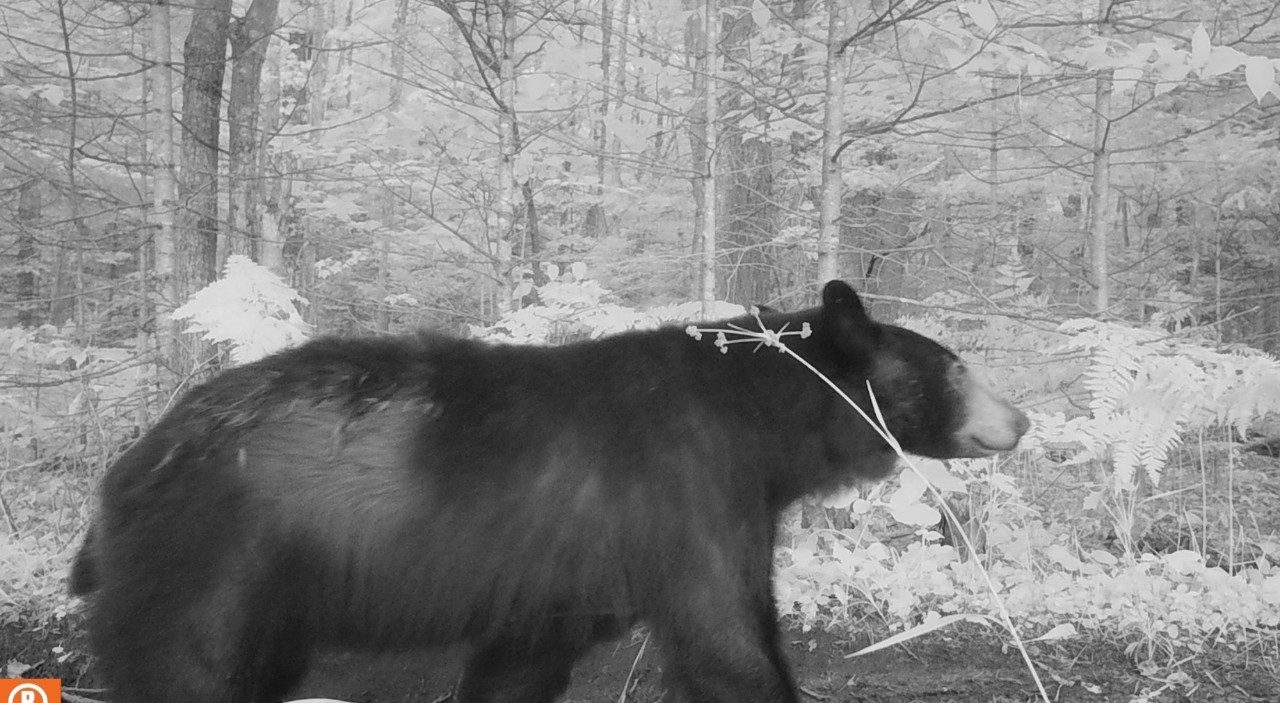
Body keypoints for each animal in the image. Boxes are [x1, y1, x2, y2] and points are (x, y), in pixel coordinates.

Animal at [71, 280, 1028, 703]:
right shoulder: (685, 489)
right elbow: (723, 639)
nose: (1020, 417)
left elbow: (525, 657)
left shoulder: (571, 565)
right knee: (189, 667)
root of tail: (126, 470)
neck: (762, 419)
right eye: (957, 365)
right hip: (215, 558)